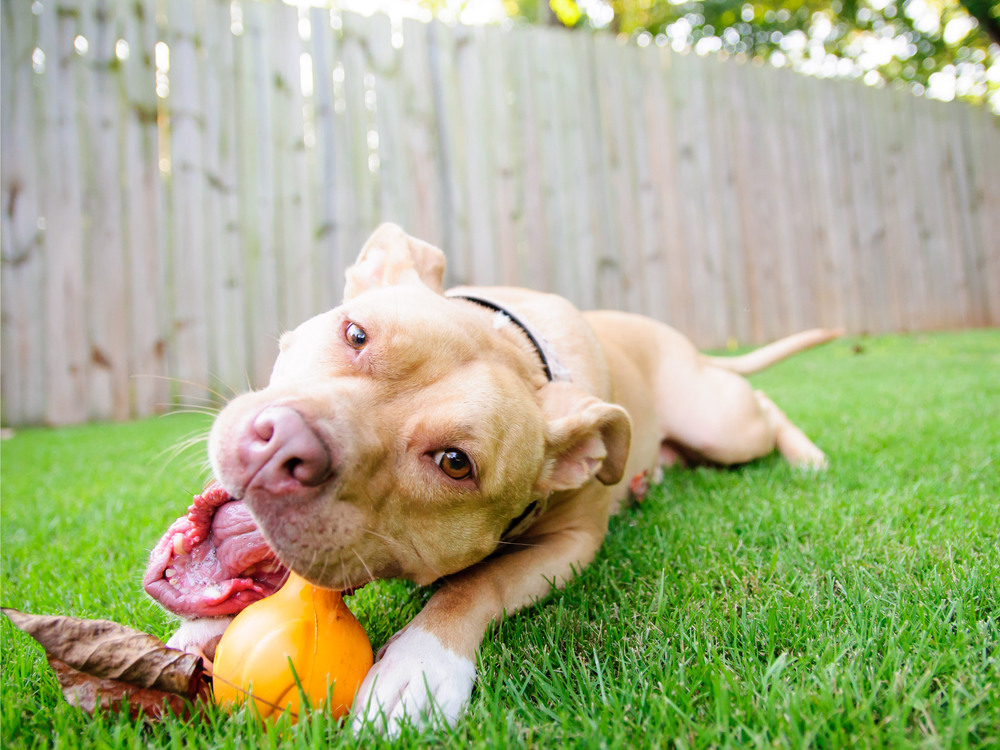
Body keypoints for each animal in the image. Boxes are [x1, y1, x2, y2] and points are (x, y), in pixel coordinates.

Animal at [145, 223, 840, 736]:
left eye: (455, 463)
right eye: (355, 333)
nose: (284, 446)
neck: (520, 347)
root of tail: (689, 346)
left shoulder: (571, 545)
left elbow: (476, 583)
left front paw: (421, 664)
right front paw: (200, 632)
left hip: (723, 423)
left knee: (764, 409)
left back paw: (807, 457)